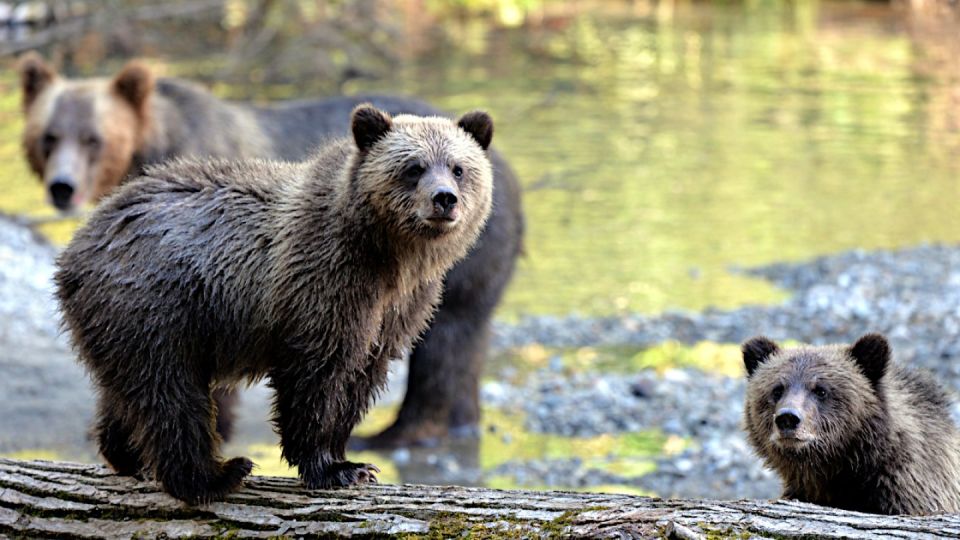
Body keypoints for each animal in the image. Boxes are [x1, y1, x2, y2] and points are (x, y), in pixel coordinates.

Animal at [16, 51, 524, 448]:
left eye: (92, 137)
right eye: (48, 136)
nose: (62, 187)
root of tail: (512, 174)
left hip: (471, 264)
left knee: (446, 339)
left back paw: (398, 431)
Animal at [54, 105, 496, 506]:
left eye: (458, 168)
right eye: (414, 167)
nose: (444, 199)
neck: (390, 255)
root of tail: (77, 248)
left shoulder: (398, 309)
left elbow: (362, 377)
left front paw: (353, 462)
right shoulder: (322, 283)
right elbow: (314, 377)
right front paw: (331, 467)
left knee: (128, 389)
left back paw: (128, 456)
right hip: (154, 301)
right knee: (171, 394)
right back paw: (216, 474)